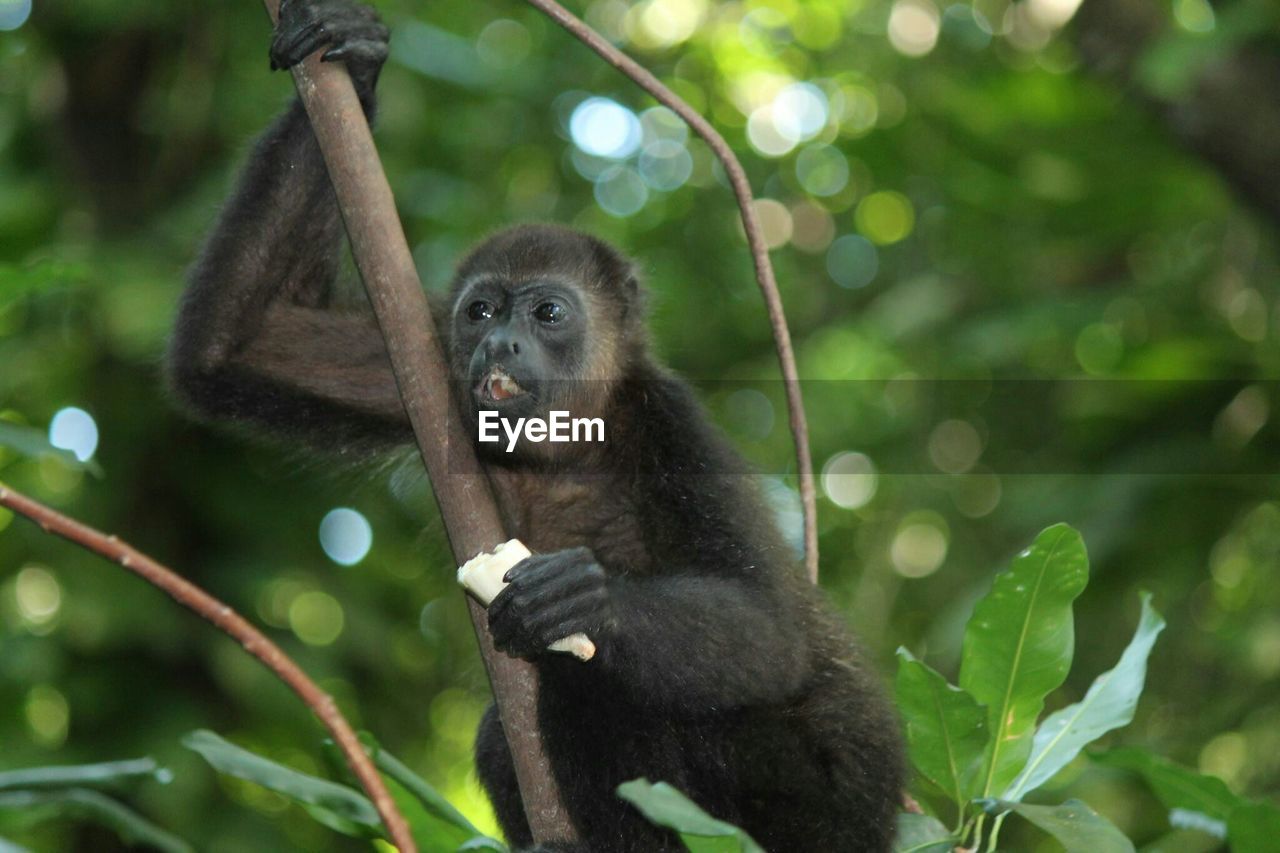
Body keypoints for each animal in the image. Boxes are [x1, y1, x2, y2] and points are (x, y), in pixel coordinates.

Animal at [170, 3, 906, 845]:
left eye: (548, 312)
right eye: (481, 311)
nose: (500, 344)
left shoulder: (670, 424)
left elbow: (772, 634)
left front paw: (587, 600)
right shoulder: (422, 366)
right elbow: (237, 345)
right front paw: (351, 57)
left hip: (813, 804)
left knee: (606, 682)